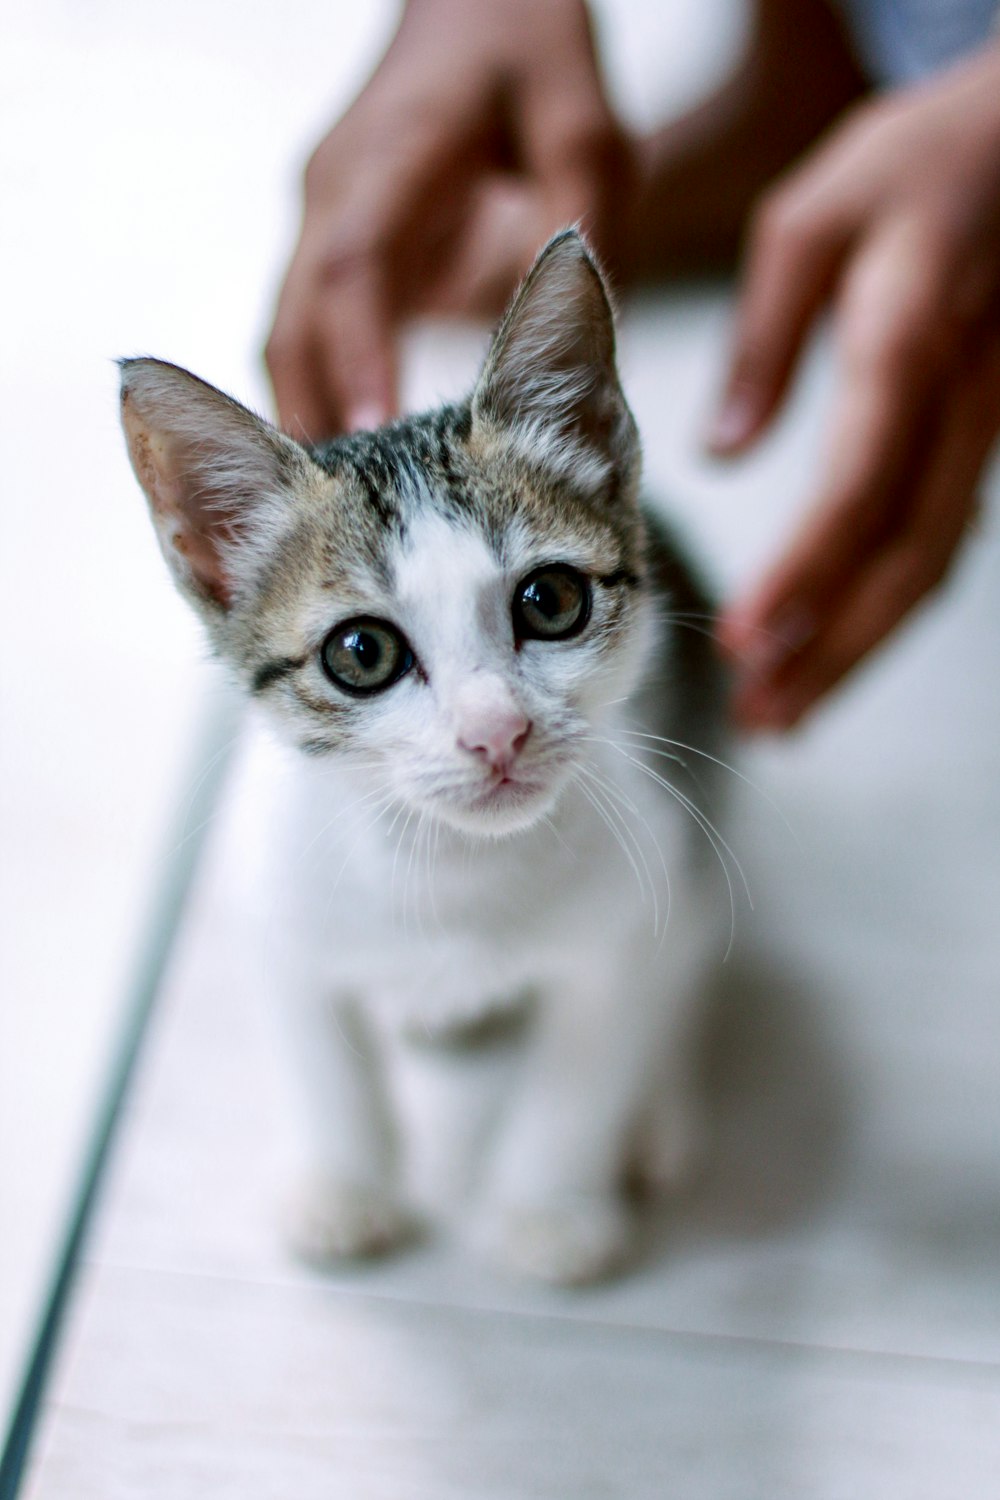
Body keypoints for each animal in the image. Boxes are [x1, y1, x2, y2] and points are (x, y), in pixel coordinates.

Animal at [121, 228, 731, 1284]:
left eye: (551, 601)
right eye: (362, 653)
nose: (495, 731)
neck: (456, 868)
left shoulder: (636, 903)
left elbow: (587, 1063)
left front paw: (547, 1204)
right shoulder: (271, 903)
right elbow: (321, 1055)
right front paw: (343, 1184)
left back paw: (657, 1116)